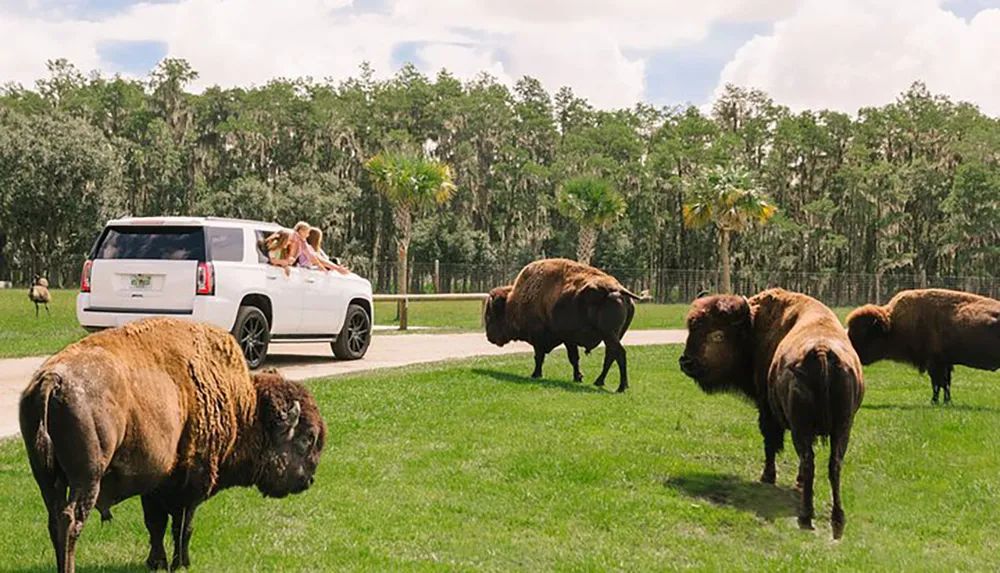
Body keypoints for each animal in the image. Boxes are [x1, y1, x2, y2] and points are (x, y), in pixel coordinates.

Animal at [19, 318, 326, 572]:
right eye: (307, 438)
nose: (309, 480)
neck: (246, 407)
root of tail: (54, 379)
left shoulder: (155, 483)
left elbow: (155, 525)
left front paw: (156, 562)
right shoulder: (192, 483)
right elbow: (183, 526)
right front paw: (181, 564)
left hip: (47, 478)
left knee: (54, 519)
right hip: (88, 476)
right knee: (71, 520)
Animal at [484, 256, 640, 392]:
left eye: (490, 316)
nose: (489, 337)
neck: (513, 302)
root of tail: (618, 289)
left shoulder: (540, 339)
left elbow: (539, 357)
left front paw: (535, 374)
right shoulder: (569, 340)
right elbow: (574, 358)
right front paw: (578, 377)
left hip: (609, 334)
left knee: (619, 353)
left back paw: (621, 387)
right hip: (614, 335)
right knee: (611, 355)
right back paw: (599, 381)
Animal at [680, 288, 868, 540]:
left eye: (717, 334)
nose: (686, 362)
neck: (752, 327)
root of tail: (821, 351)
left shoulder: (766, 410)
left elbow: (770, 443)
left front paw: (767, 477)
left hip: (802, 428)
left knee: (808, 460)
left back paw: (805, 517)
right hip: (843, 428)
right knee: (833, 465)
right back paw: (837, 521)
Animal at [844, 286, 1000, 402]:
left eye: (864, 333)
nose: (851, 353)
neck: (894, 324)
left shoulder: (935, 362)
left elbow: (938, 383)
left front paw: (935, 401)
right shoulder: (944, 363)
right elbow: (945, 383)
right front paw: (945, 401)